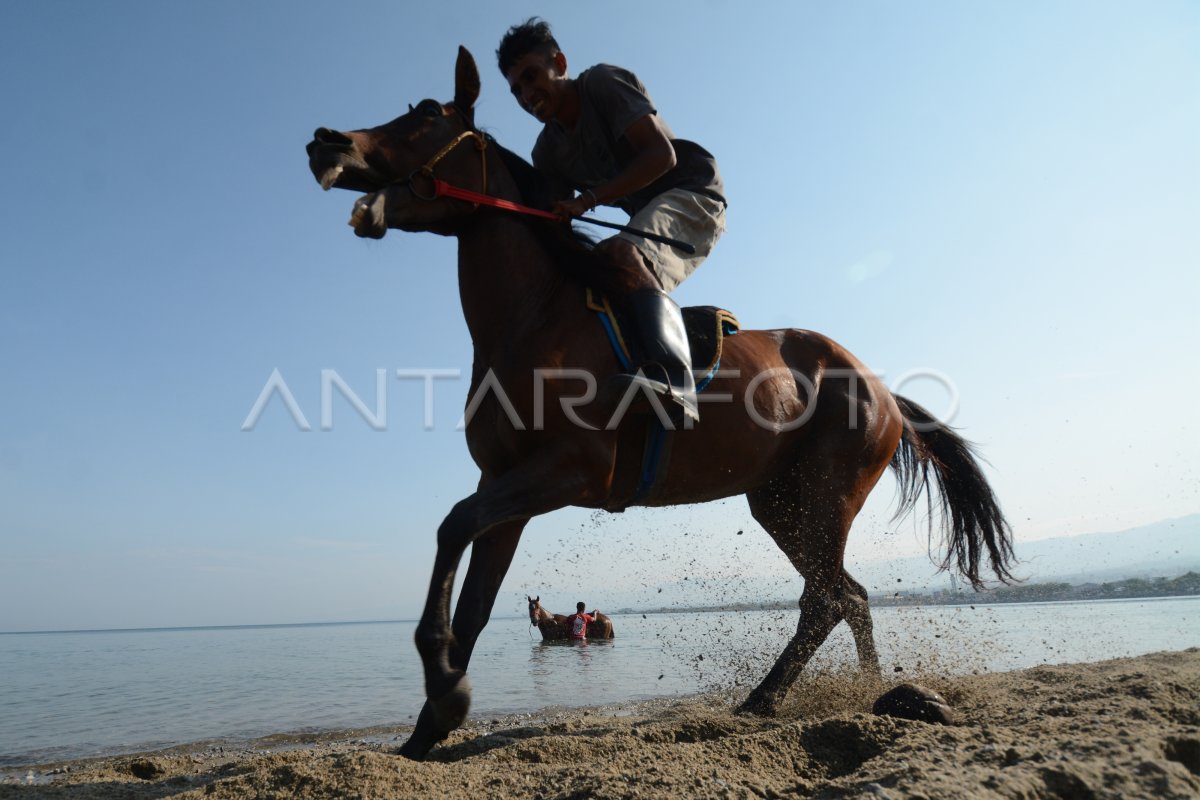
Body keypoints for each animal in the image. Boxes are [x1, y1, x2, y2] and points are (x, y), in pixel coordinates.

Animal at [302, 47, 1012, 762]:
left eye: (425, 114)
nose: (325, 141)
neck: (533, 316)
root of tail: (880, 387)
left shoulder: (570, 470)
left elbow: (451, 526)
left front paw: (446, 691)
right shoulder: (505, 482)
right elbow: (473, 598)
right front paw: (430, 724)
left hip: (827, 491)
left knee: (825, 599)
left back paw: (770, 699)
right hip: (779, 501)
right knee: (848, 595)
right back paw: (859, 689)